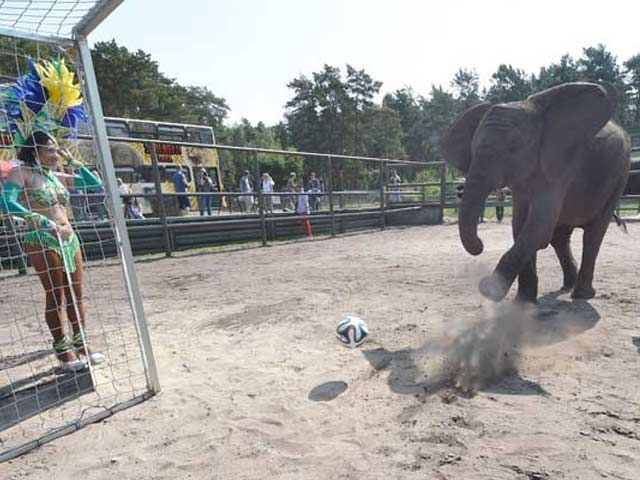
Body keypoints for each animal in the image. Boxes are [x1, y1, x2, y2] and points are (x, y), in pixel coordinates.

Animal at [442, 82, 631, 303]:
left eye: (513, 148)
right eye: (473, 150)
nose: (480, 245)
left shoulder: (560, 168)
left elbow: (538, 228)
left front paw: (490, 289)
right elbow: (520, 226)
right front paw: (523, 300)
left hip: (619, 176)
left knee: (593, 234)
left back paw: (581, 294)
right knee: (560, 237)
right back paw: (568, 285)